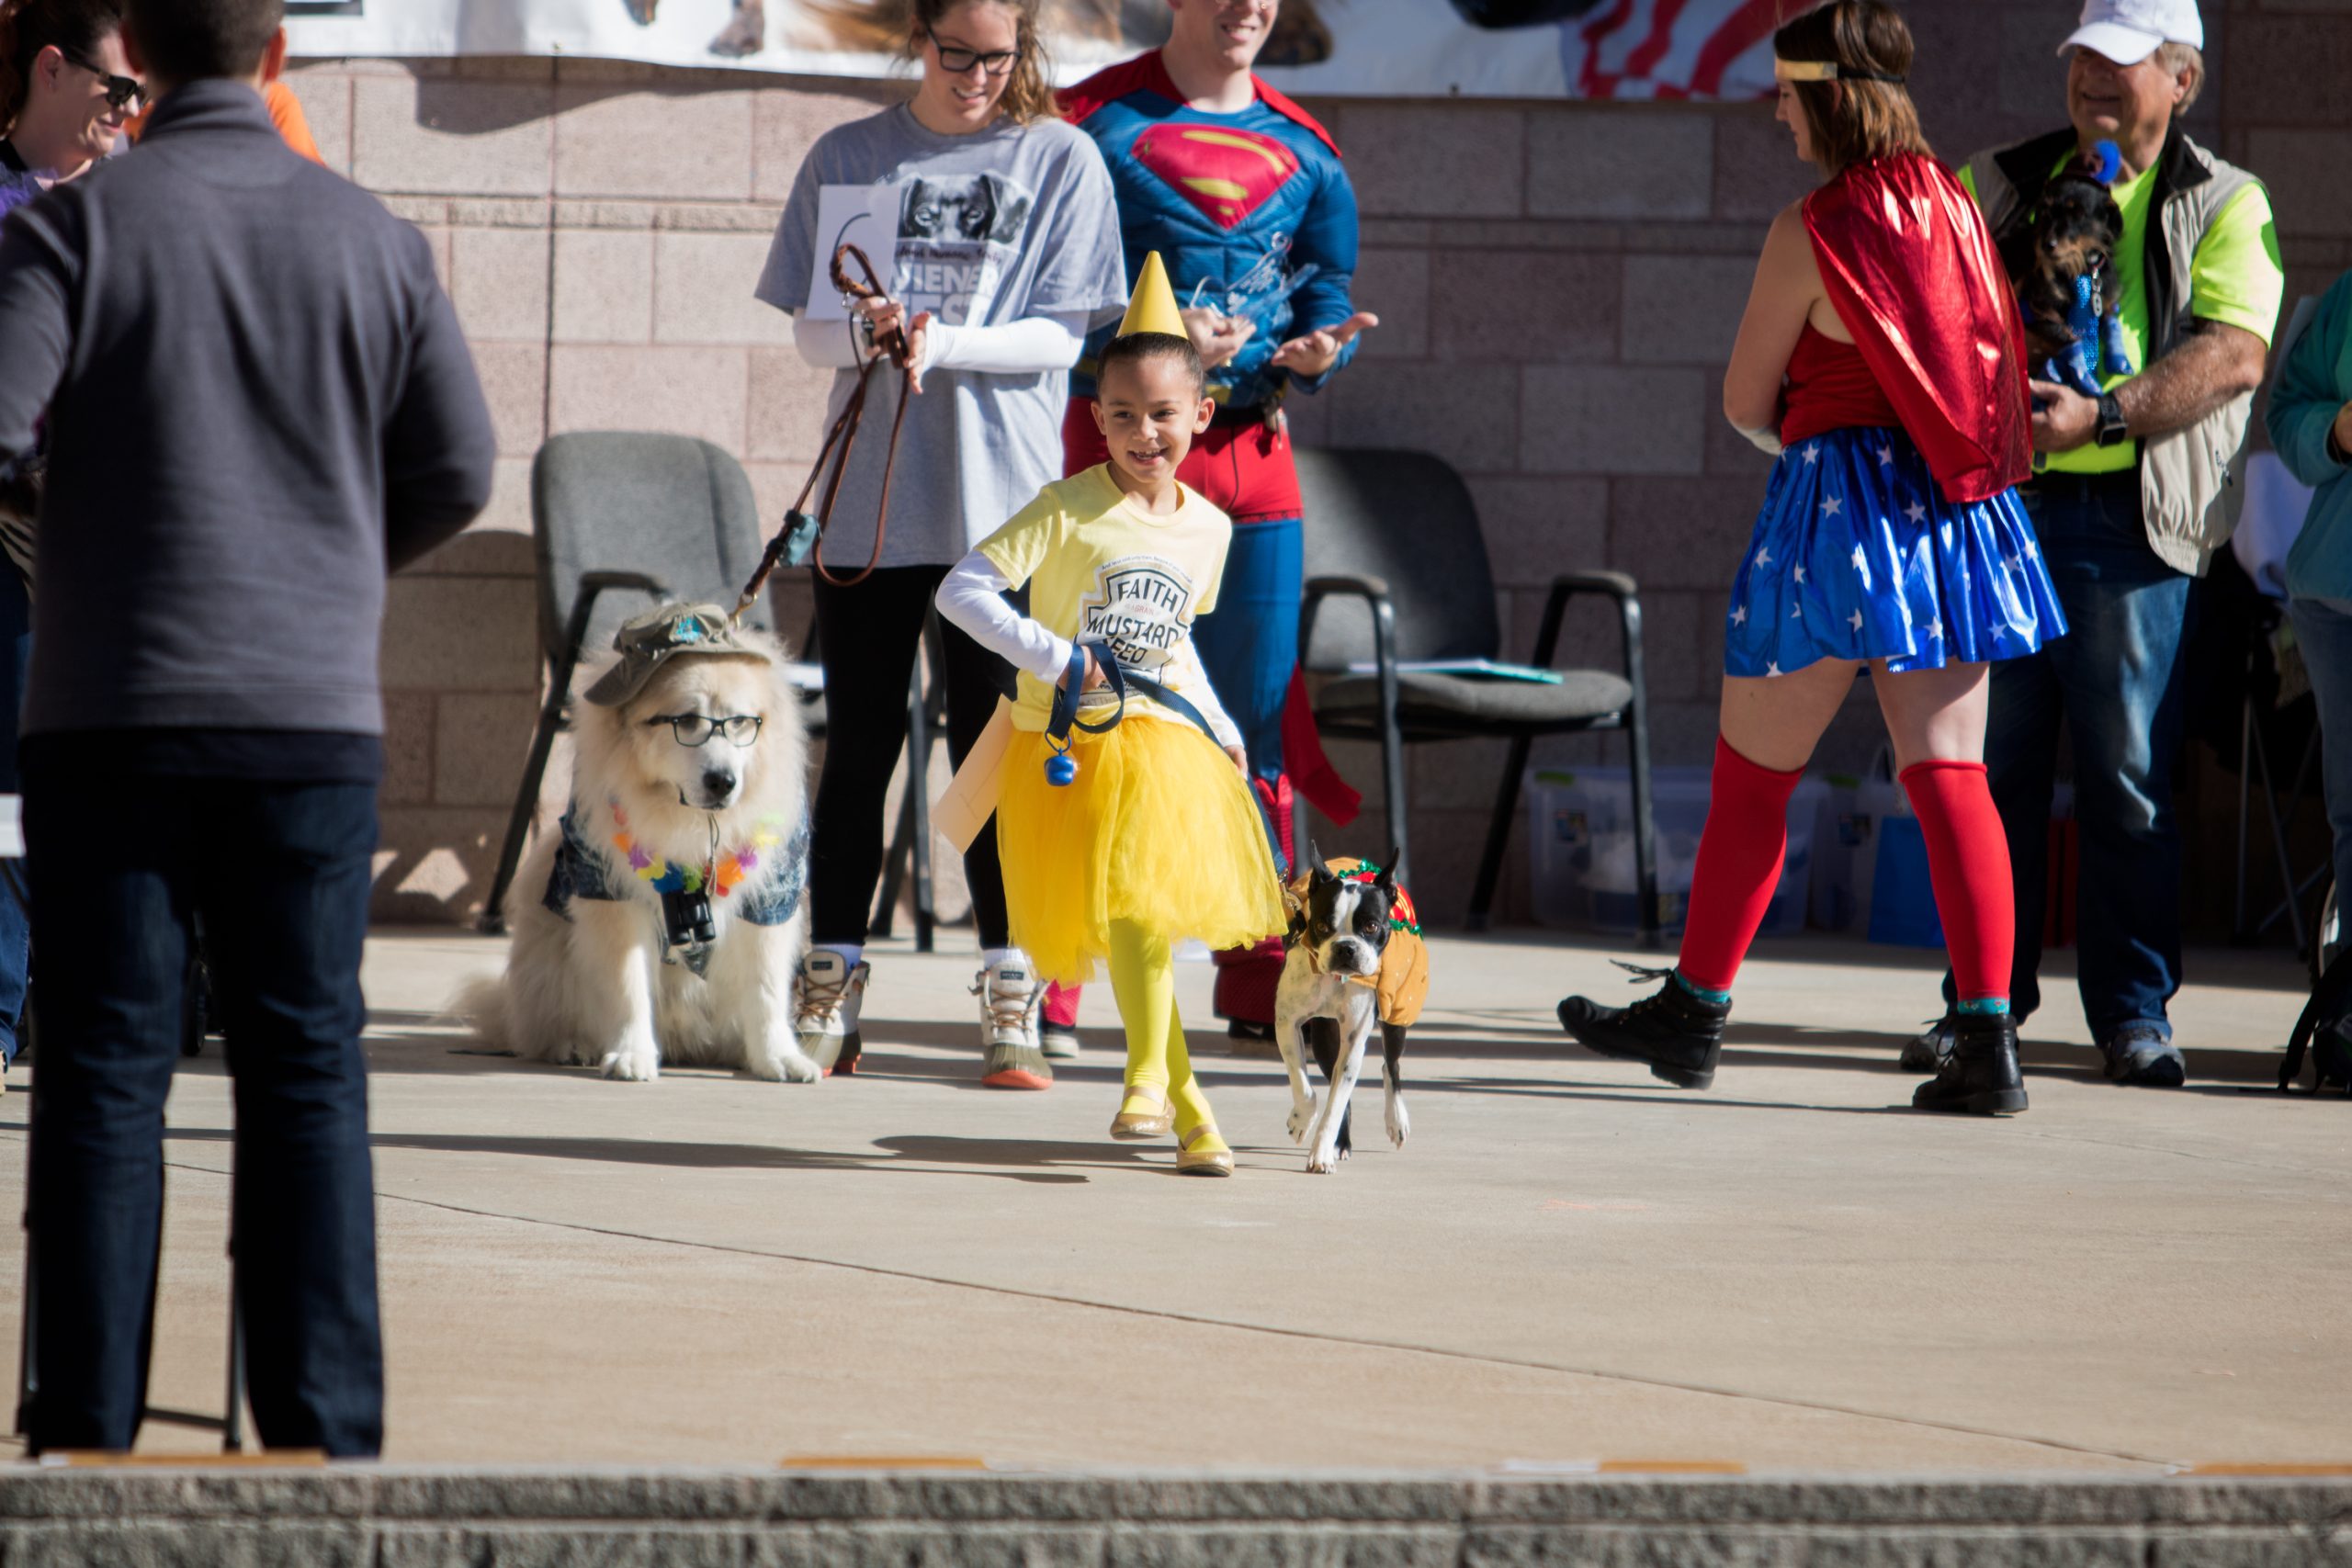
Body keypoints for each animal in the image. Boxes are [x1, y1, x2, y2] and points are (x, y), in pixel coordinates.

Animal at [458, 606, 818, 1086]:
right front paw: (632, 1054)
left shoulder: (772, 901)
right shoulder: (610, 894)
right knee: (545, 1023)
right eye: (687, 721)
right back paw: (573, 1046)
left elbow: (766, 988)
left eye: (741, 721)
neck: (691, 822)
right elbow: (627, 984)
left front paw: (778, 1057)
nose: (722, 781)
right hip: (547, 952)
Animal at [1279, 851, 1420, 1170]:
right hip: (1324, 1038)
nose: (1346, 947)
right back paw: (1340, 1143)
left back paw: (1397, 1121)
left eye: (1371, 927)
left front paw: (1320, 1154)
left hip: (1396, 1014)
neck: (1334, 980)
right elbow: (1305, 1087)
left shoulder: (1354, 1039)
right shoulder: (1287, 1023)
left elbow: (1334, 1105)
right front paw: (1301, 1122)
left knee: (1391, 1065)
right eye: (1321, 926)